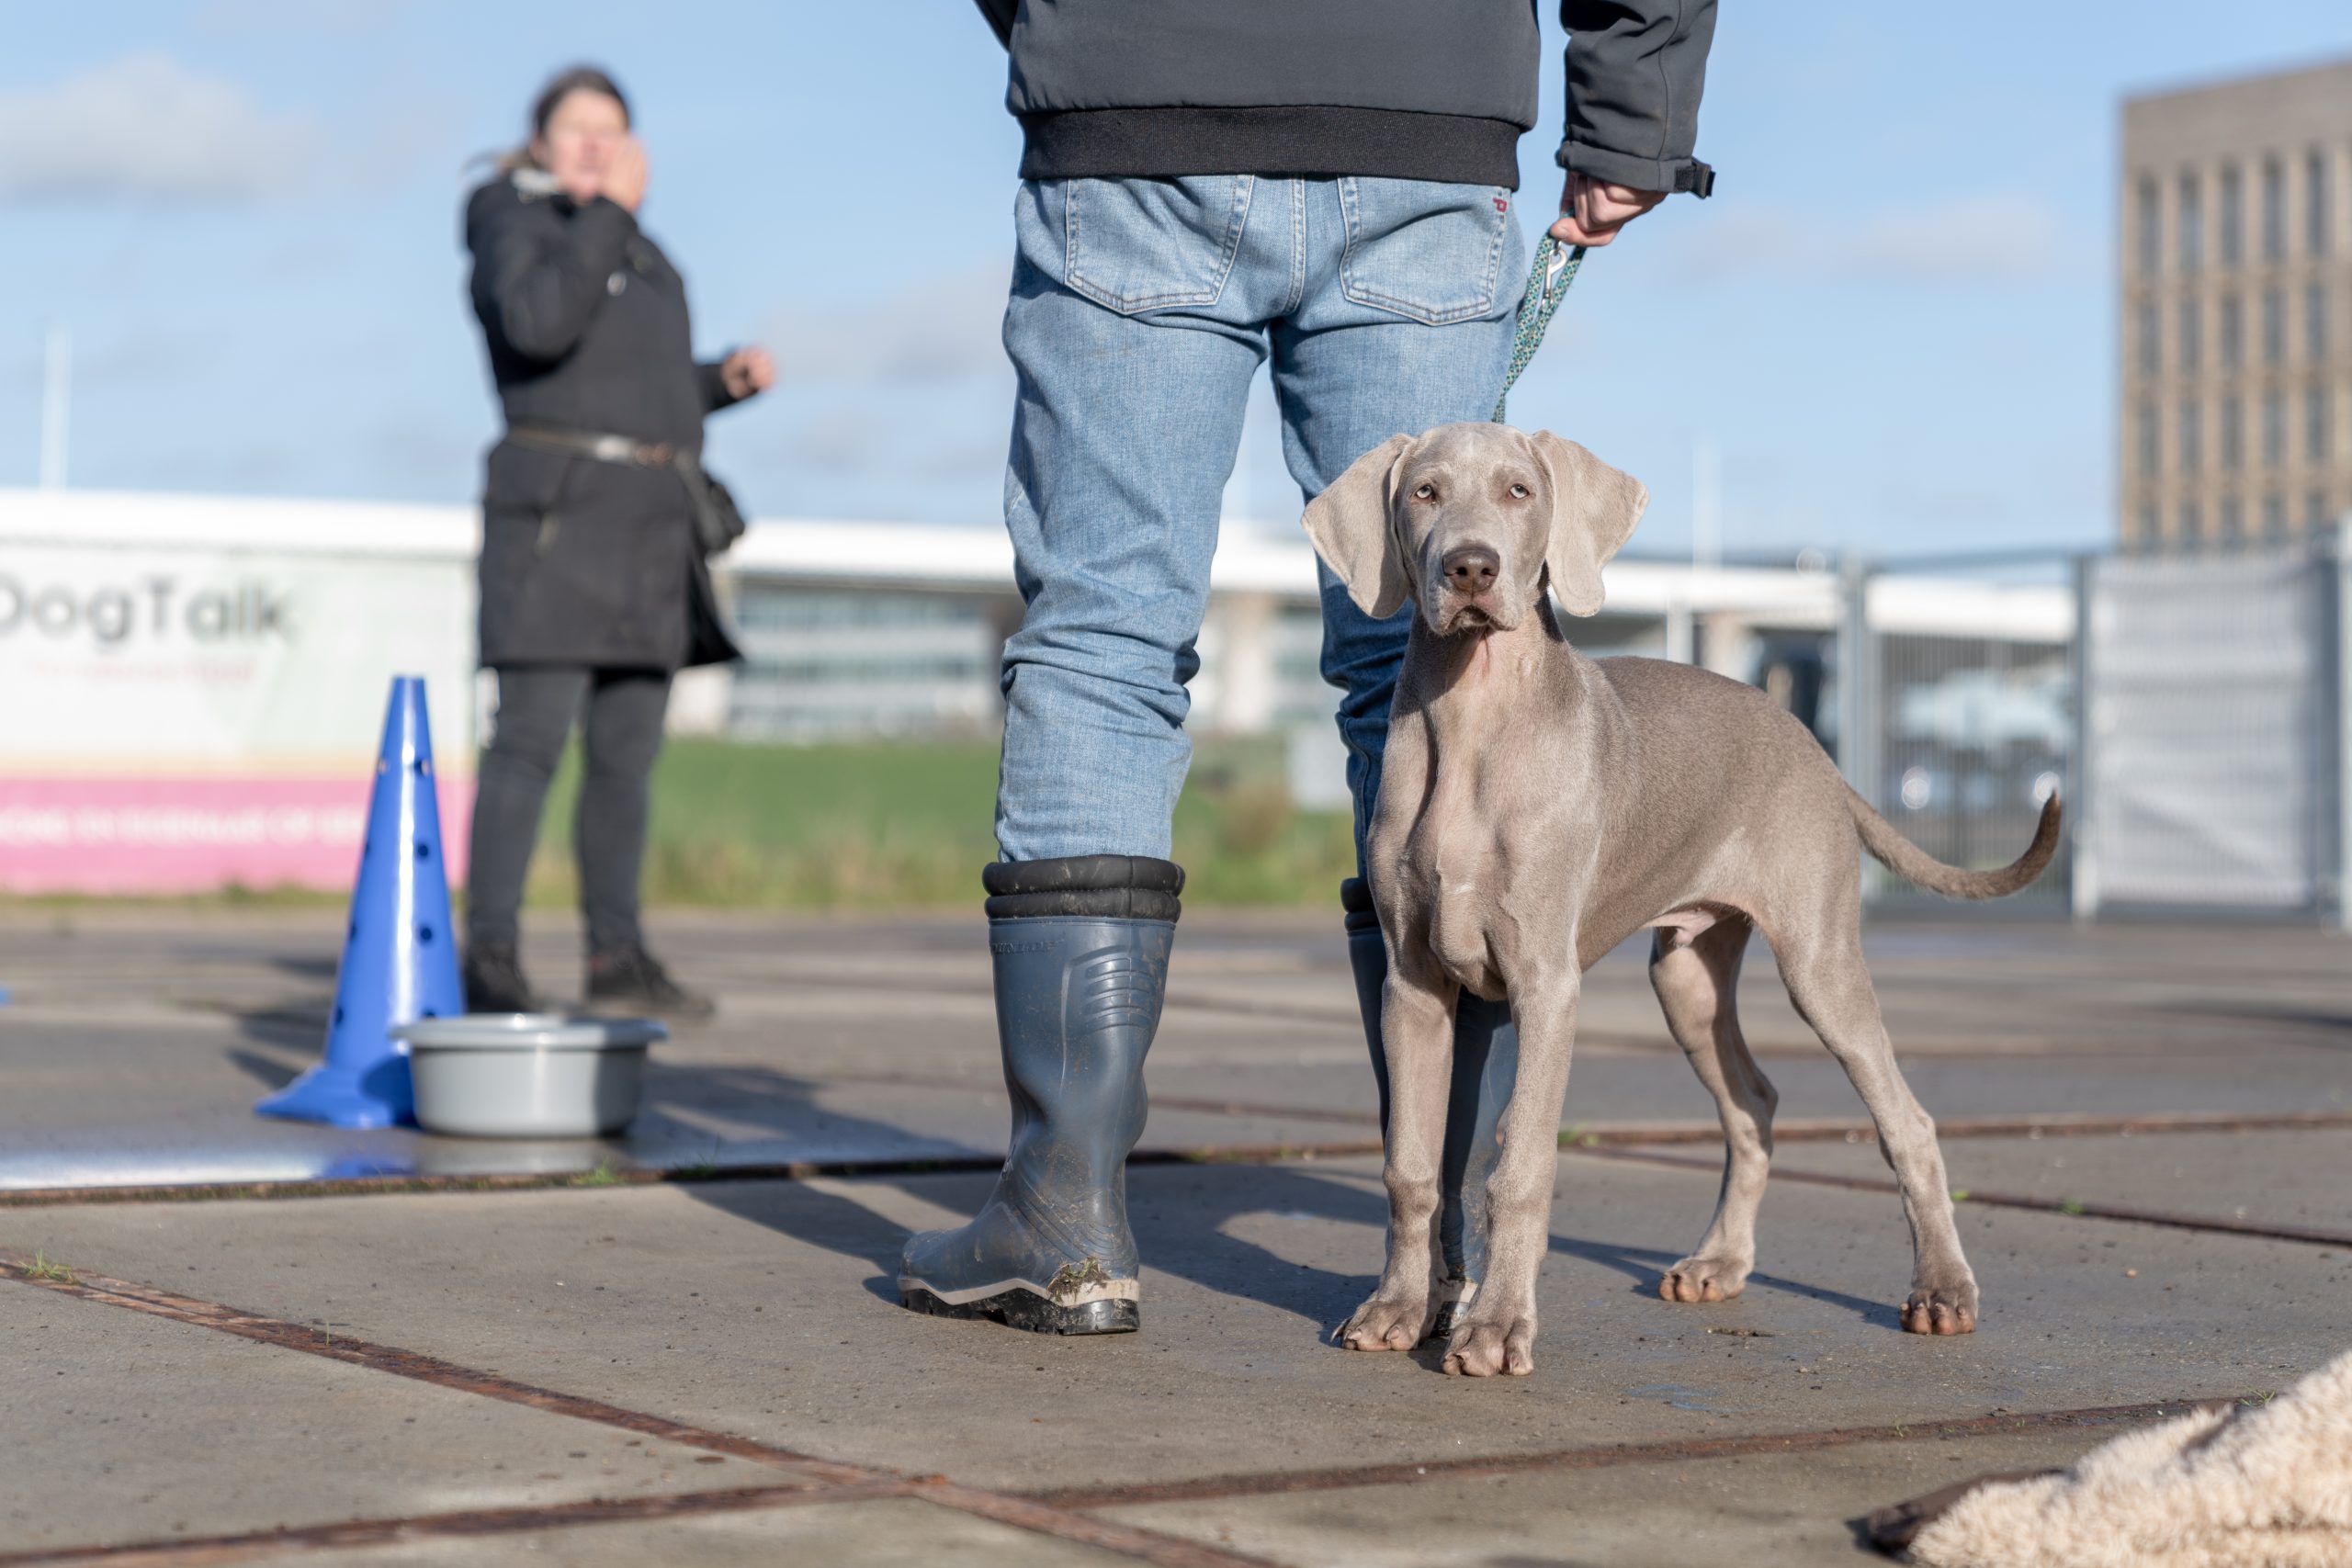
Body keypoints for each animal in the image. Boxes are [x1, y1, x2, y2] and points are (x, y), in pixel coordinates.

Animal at [1307, 423, 2060, 1382]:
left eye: (1519, 490)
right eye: (1425, 493)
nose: (1471, 568)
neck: (1475, 719)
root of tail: (1814, 746)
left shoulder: (1545, 983)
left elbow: (1518, 1163)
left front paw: (1496, 1326)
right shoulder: (1412, 984)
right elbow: (1411, 1164)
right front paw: (1397, 1308)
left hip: (1819, 962)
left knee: (1907, 1120)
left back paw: (1942, 1291)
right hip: (1688, 977)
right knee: (1755, 1103)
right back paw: (1720, 1262)